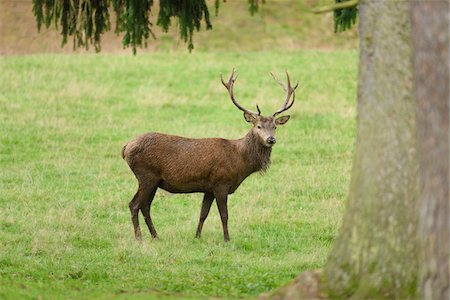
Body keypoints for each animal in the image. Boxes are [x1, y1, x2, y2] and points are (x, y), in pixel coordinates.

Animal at [121, 68, 298, 241]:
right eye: (259, 126)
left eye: (275, 126)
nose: (271, 139)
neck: (239, 162)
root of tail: (125, 147)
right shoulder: (221, 183)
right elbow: (224, 215)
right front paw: (227, 239)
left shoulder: (209, 188)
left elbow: (203, 214)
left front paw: (197, 237)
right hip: (146, 175)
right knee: (134, 204)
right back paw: (139, 238)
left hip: (154, 180)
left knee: (145, 206)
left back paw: (155, 236)